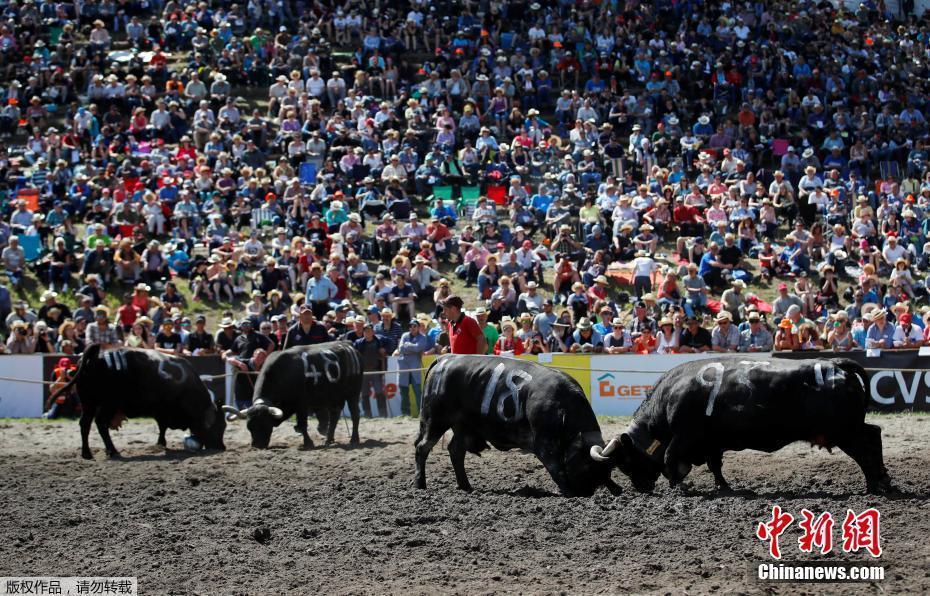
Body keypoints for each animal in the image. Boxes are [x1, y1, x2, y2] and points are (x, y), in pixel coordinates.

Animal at [47, 342, 227, 458]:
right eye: (221, 425)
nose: (221, 447)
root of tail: (98, 350)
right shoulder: (163, 409)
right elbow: (163, 426)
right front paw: (162, 442)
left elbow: (162, 426)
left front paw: (161, 443)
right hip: (108, 404)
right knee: (100, 423)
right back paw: (112, 450)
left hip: (89, 402)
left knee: (85, 424)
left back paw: (87, 453)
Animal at [220, 342, 358, 450]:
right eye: (249, 427)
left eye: (264, 424)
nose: (256, 446)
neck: (283, 374)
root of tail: (349, 346)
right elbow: (300, 426)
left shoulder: (301, 405)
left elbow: (302, 425)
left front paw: (308, 443)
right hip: (334, 398)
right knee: (334, 416)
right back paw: (329, 440)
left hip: (352, 394)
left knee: (354, 415)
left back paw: (354, 440)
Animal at [412, 354, 616, 498]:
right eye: (588, 466)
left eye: (606, 471)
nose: (586, 493)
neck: (562, 405)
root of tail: (444, 359)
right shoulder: (545, 445)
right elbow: (557, 469)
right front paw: (570, 494)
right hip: (435, 420)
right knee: (422, 447)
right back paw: (420, 484)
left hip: (463, 426)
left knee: (455, 451)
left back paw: (465, 486)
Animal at [592, 358, 896, 494]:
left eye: (625, 462)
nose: (640, 488)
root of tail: (834, 364)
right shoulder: (711, 443)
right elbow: (715, 465)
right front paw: (723, 487)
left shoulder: (683, 437)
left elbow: (669, 460)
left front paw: (680, 486)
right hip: (849, 430)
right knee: (874, 436)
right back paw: (880, 481)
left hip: (846, 432)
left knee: (867, 447)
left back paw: (874, 483)